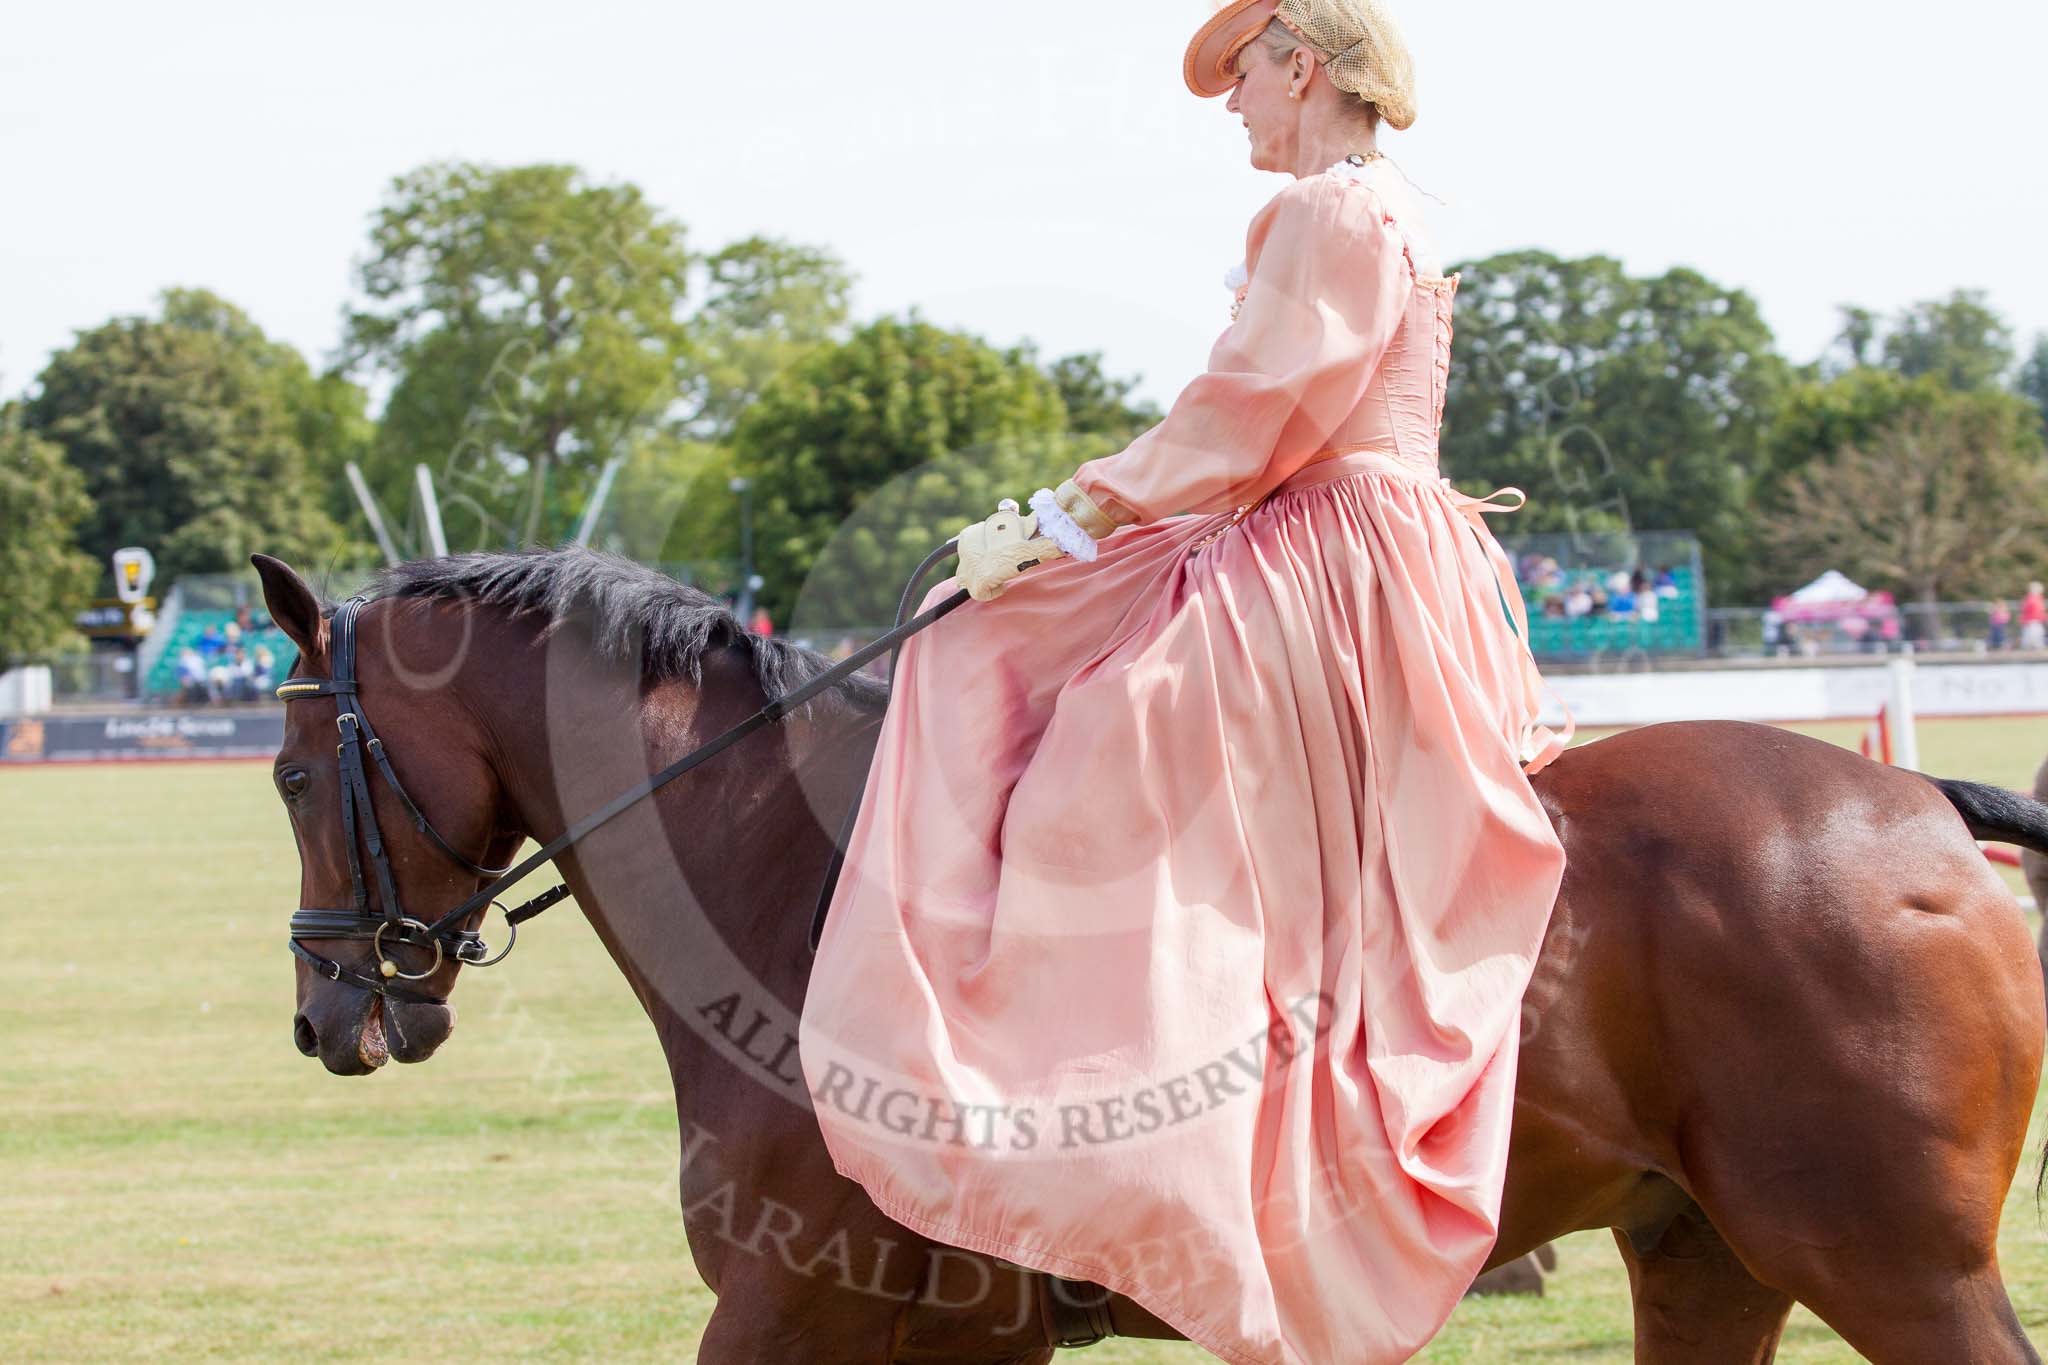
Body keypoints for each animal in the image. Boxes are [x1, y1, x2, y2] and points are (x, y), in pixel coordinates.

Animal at [256, 548, 2048, 1358]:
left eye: (282, 774)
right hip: (1705, 1254)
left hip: (1887, 1261)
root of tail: (1912, 802)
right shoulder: (959, 1338)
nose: (331, 1013)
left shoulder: (787, 1307)